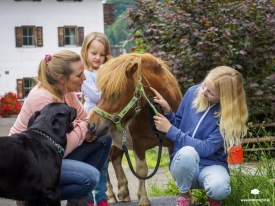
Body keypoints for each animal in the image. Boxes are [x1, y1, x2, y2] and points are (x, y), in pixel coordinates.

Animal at [87, 53, 183, 206]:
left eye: (116, 94)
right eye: (102, 93)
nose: (92, 125)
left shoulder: (173, 142)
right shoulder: (139, 144)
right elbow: (142, 170)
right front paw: (143, 199)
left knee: (115, 157)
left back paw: (124, 192)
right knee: (106, 162)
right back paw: (111, 195)